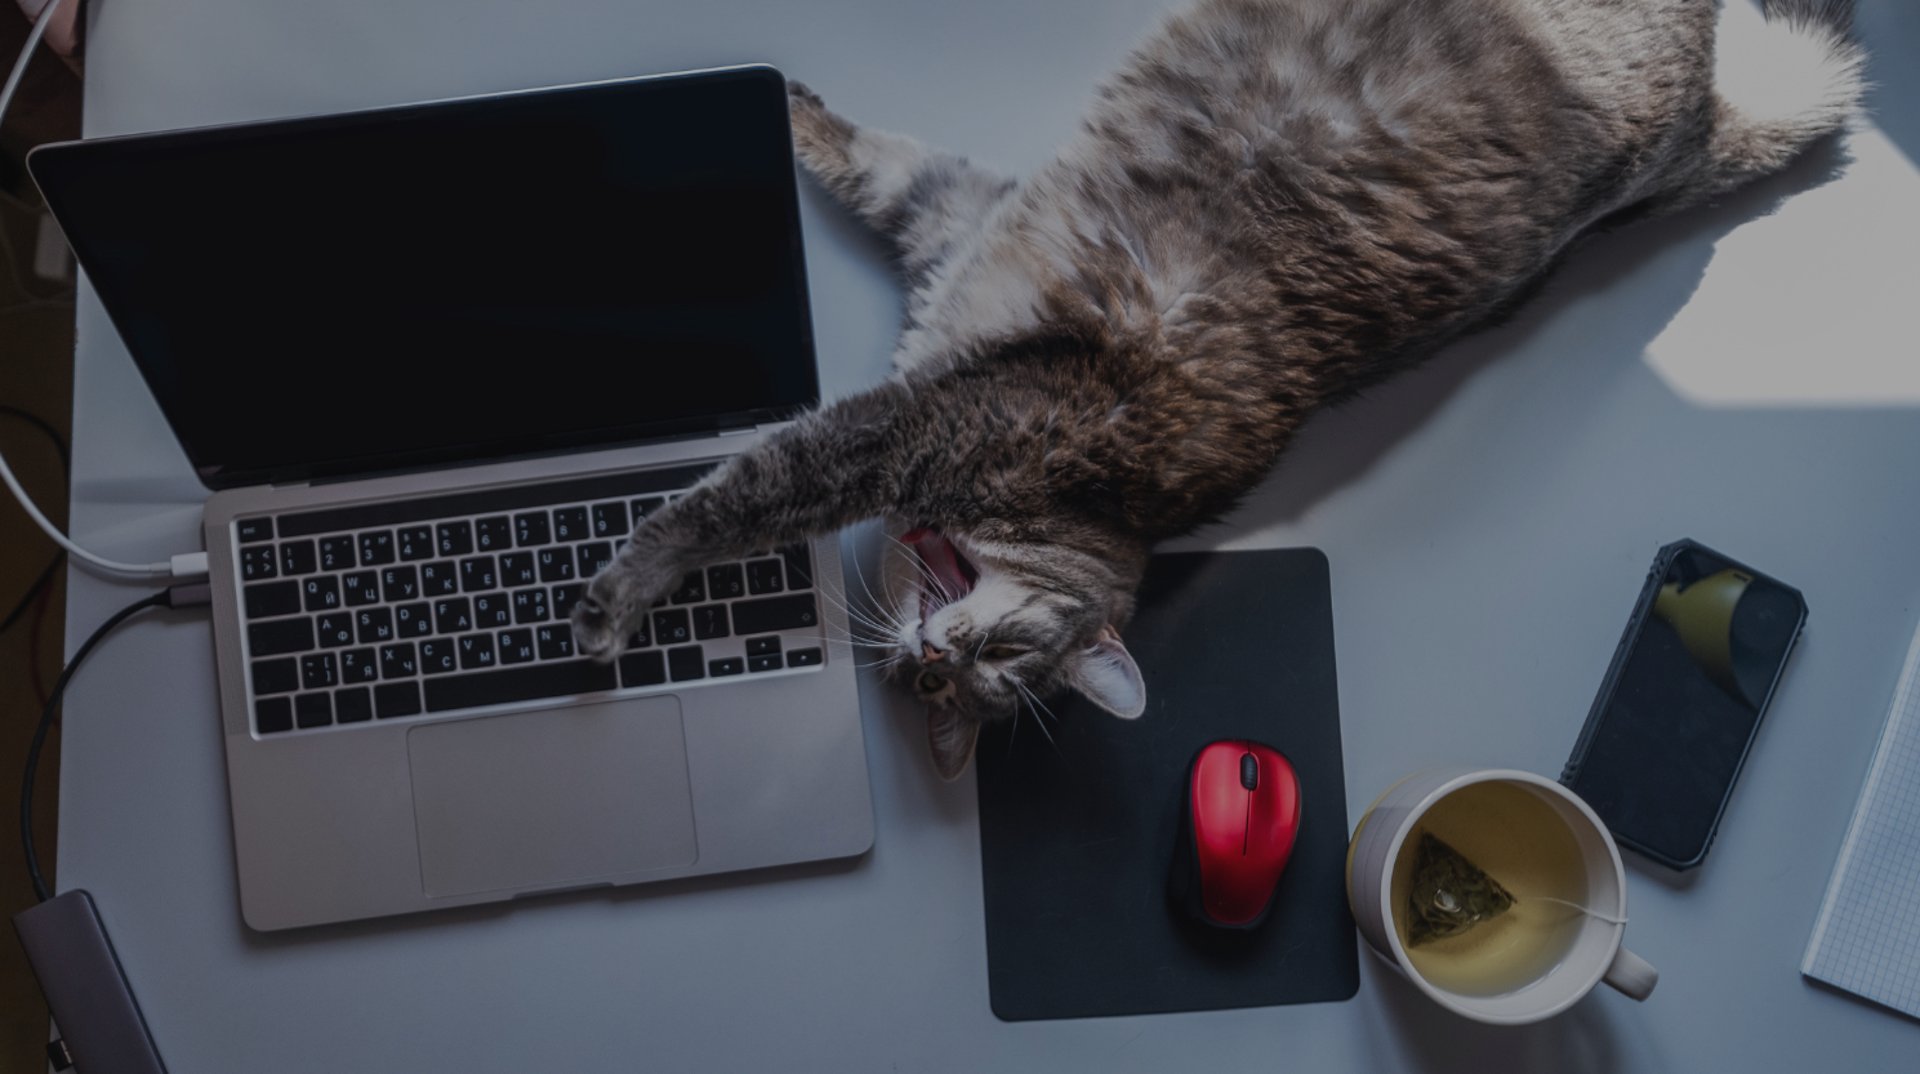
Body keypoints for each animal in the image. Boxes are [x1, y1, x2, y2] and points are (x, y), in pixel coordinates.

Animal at [573, 0, 1864, 780]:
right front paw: (790, 105)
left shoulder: (924, 394)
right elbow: (866, 161)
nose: (932, 663)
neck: (1086, 515)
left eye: (988, 685)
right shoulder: (954, 245)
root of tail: (1703, 115)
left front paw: (616, 593)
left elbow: (741, 489)